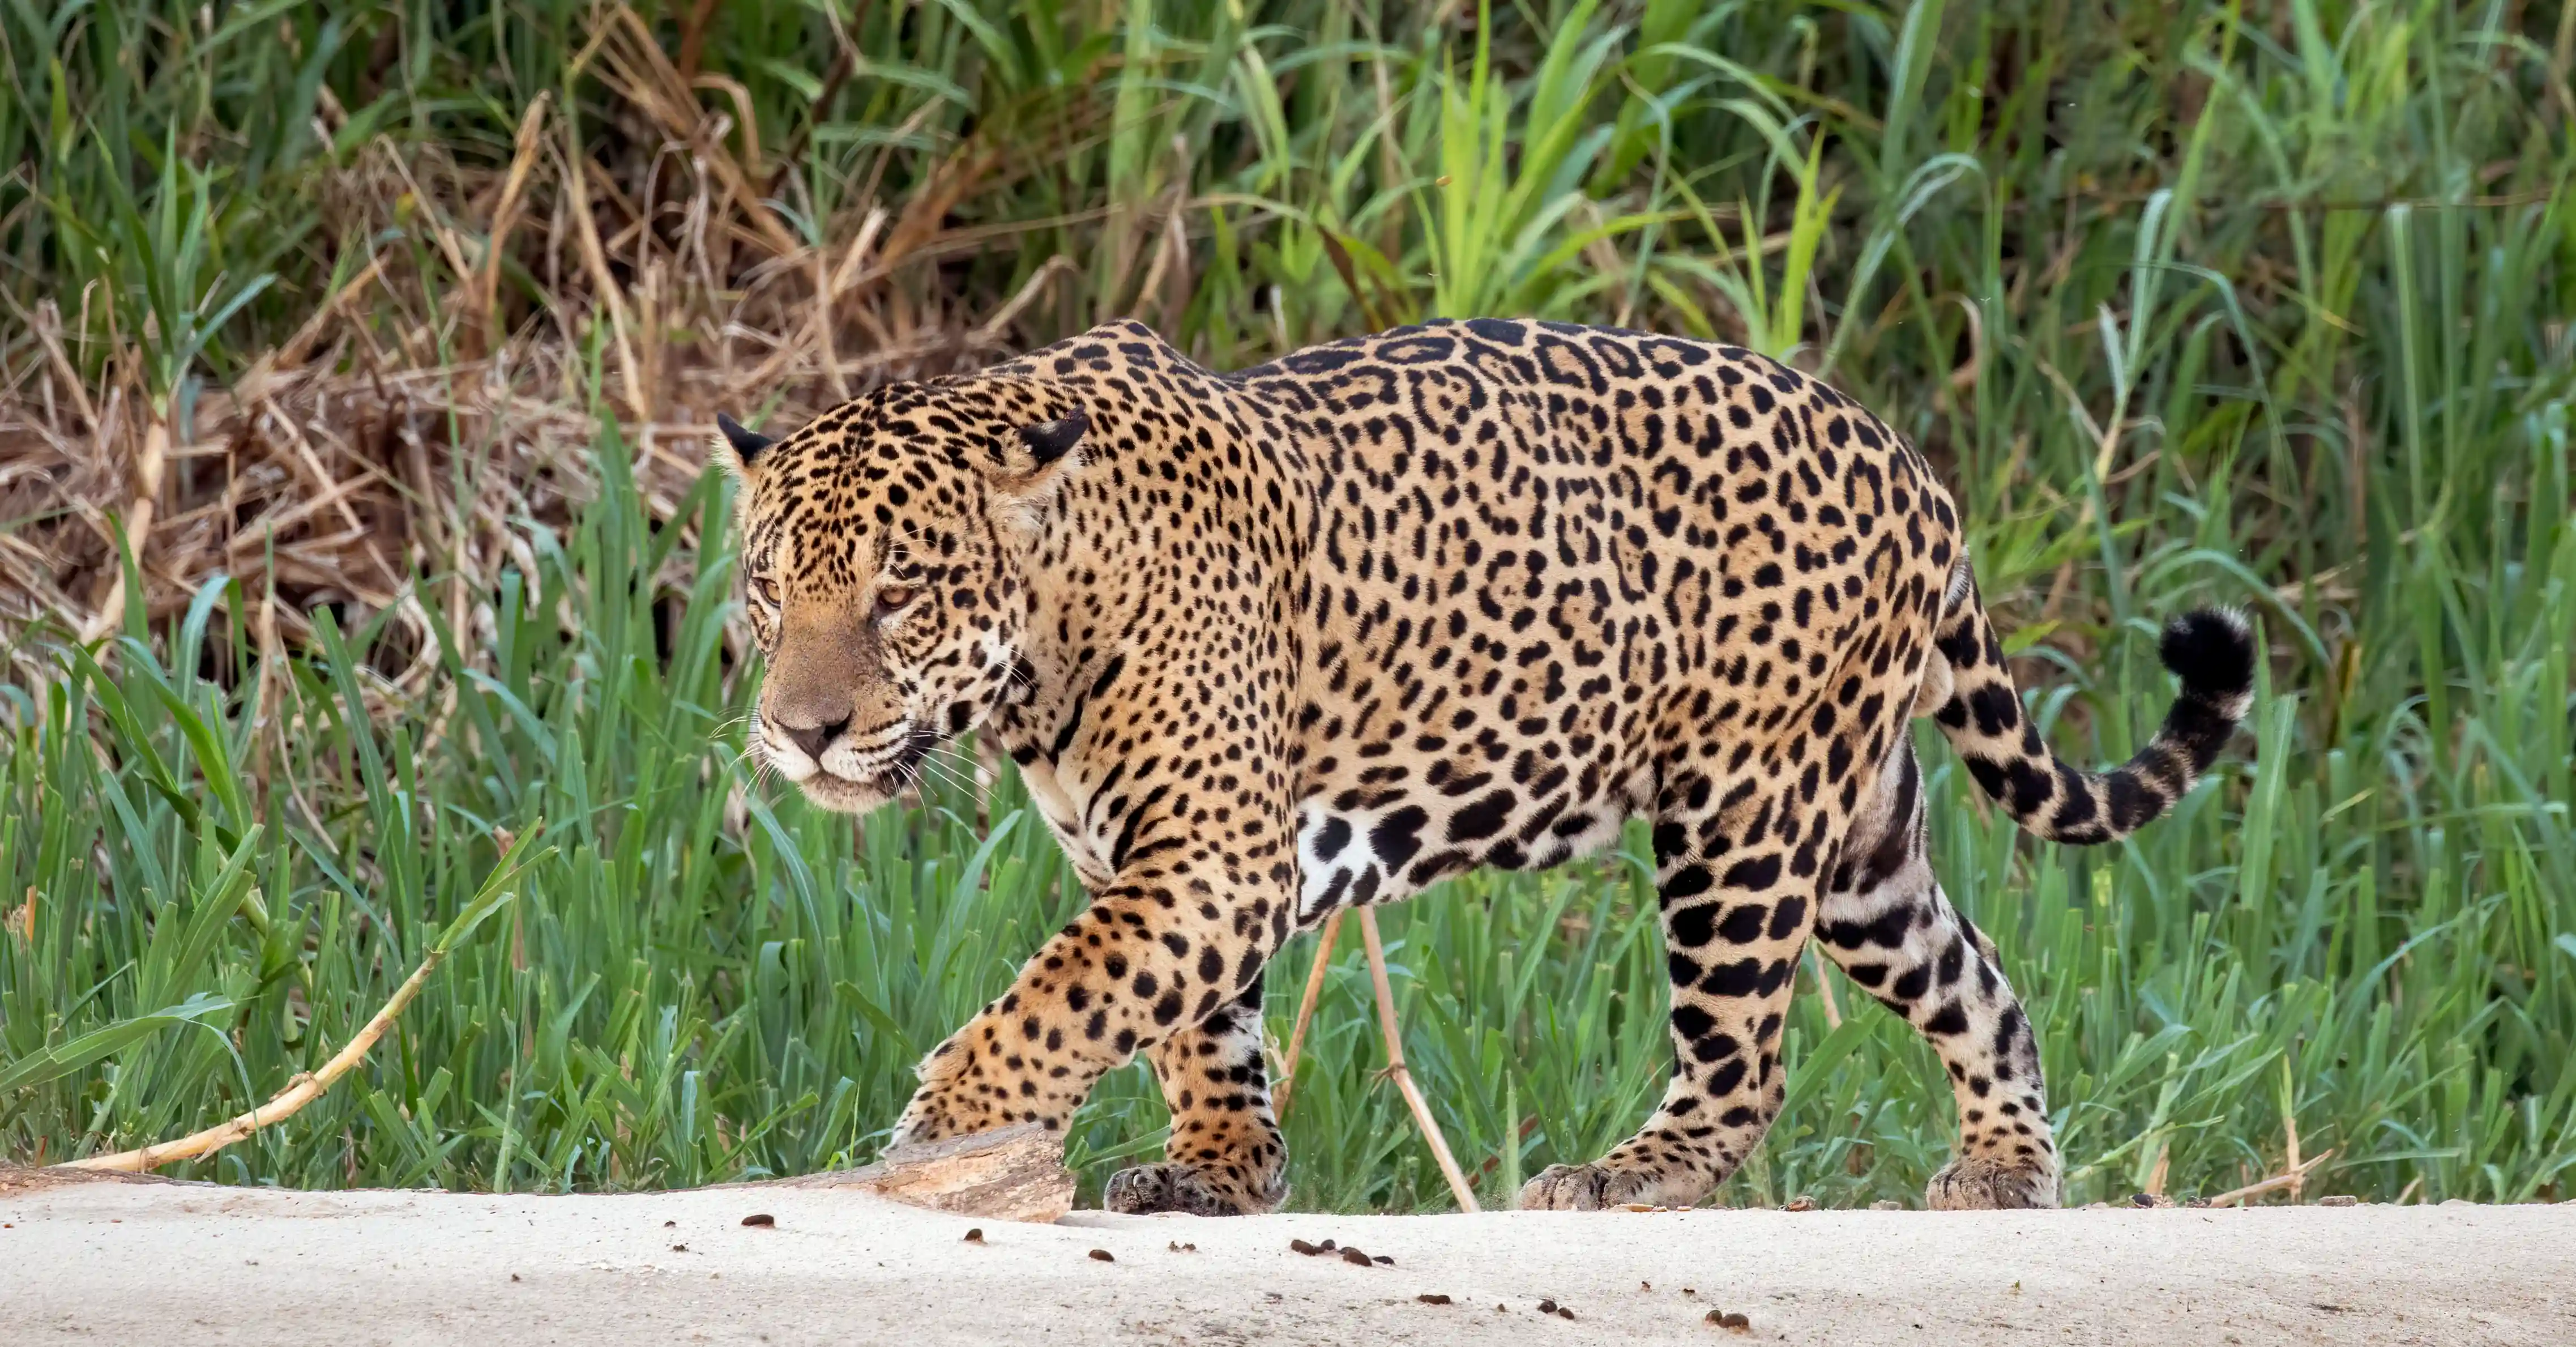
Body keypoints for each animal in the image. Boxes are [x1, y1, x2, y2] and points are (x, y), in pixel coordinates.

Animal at [714, 317, 2254, 1216]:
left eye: (899, 596)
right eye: (770, 587)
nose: (800, 732)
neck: (1045, 637)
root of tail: (1911, 465)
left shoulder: (1211, 860)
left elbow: (1056, 998)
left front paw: (941, 1128)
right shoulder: (1155, 862)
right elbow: (1188, 1022)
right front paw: (1220, 1169)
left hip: (1741, 818)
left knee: (1743, 1059)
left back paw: (1626, 1177)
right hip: (1859, 838)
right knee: (1979, 985)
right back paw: (2004, 1168)